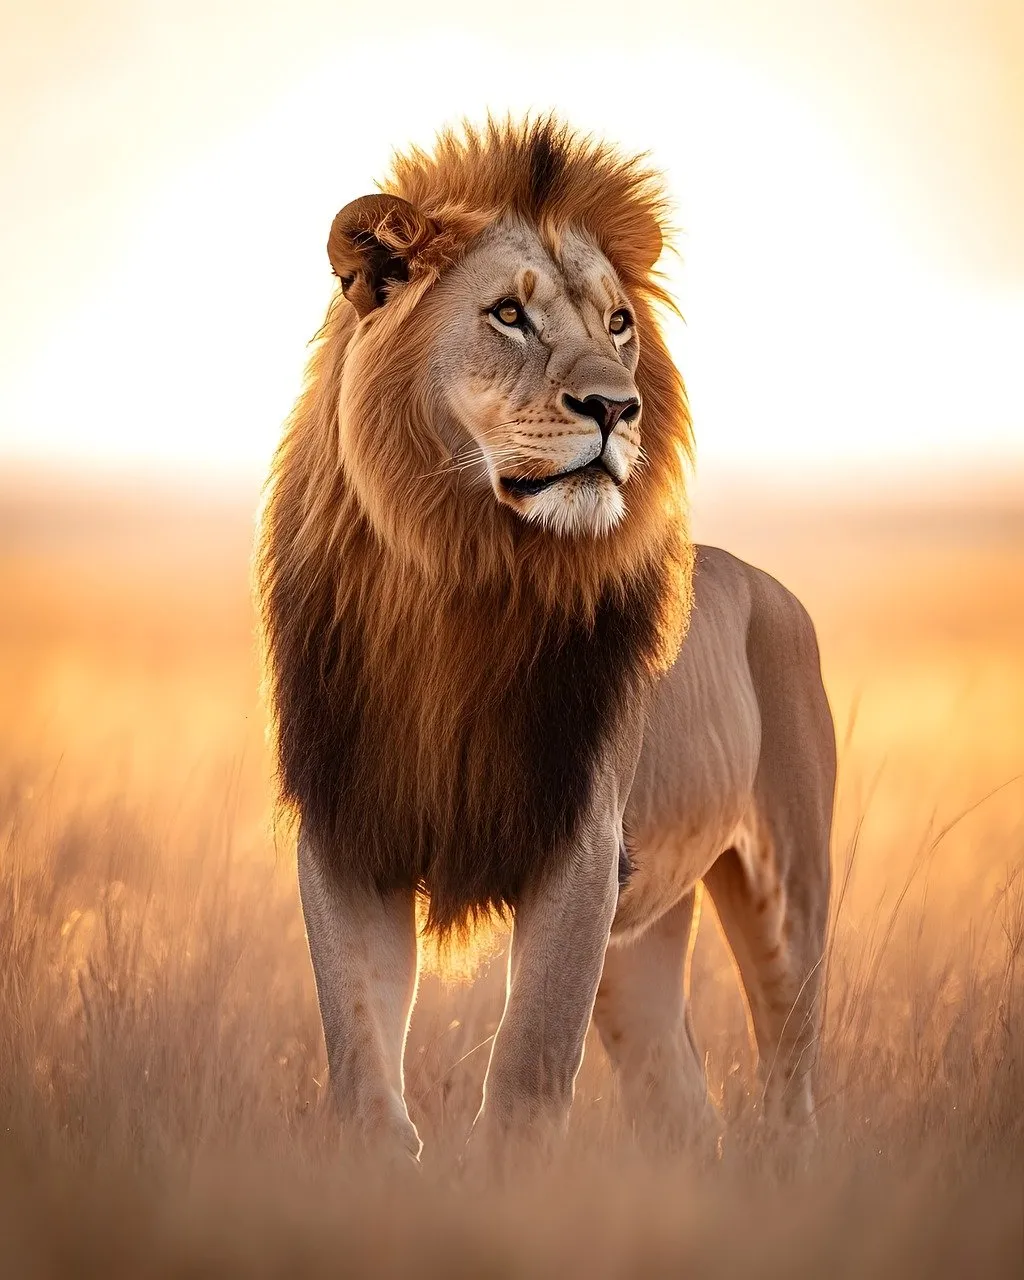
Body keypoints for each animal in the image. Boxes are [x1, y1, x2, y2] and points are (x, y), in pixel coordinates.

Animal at [258, 118, 835, 1161]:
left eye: (619, 324)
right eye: (508, 316)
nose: (616, 407)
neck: (457, 578)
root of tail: (771, 587)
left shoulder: (582, 841)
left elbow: (528, 1065)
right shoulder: (348, 824)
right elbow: (359, 1048)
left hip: (792, 890)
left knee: (791, 1083)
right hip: (640, 943)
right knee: (680, 1099)